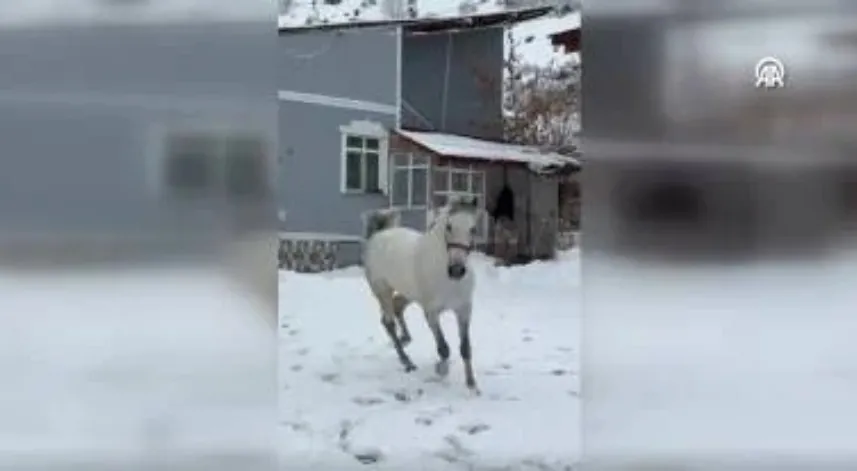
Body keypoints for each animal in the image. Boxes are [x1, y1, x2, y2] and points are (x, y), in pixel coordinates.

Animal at [360, 196, 482, 394]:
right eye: (449, 226)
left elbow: (465, 348)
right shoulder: (431, 312)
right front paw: (441, 369)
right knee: (388, 322)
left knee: (397, 306)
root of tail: (379, 234)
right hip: (382, 290)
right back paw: (407, 362)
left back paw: (406, 339)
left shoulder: (464, 310)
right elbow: (443, 348)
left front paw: (472, 384)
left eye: (473, 229)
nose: (457, 270)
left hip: (408, 293)